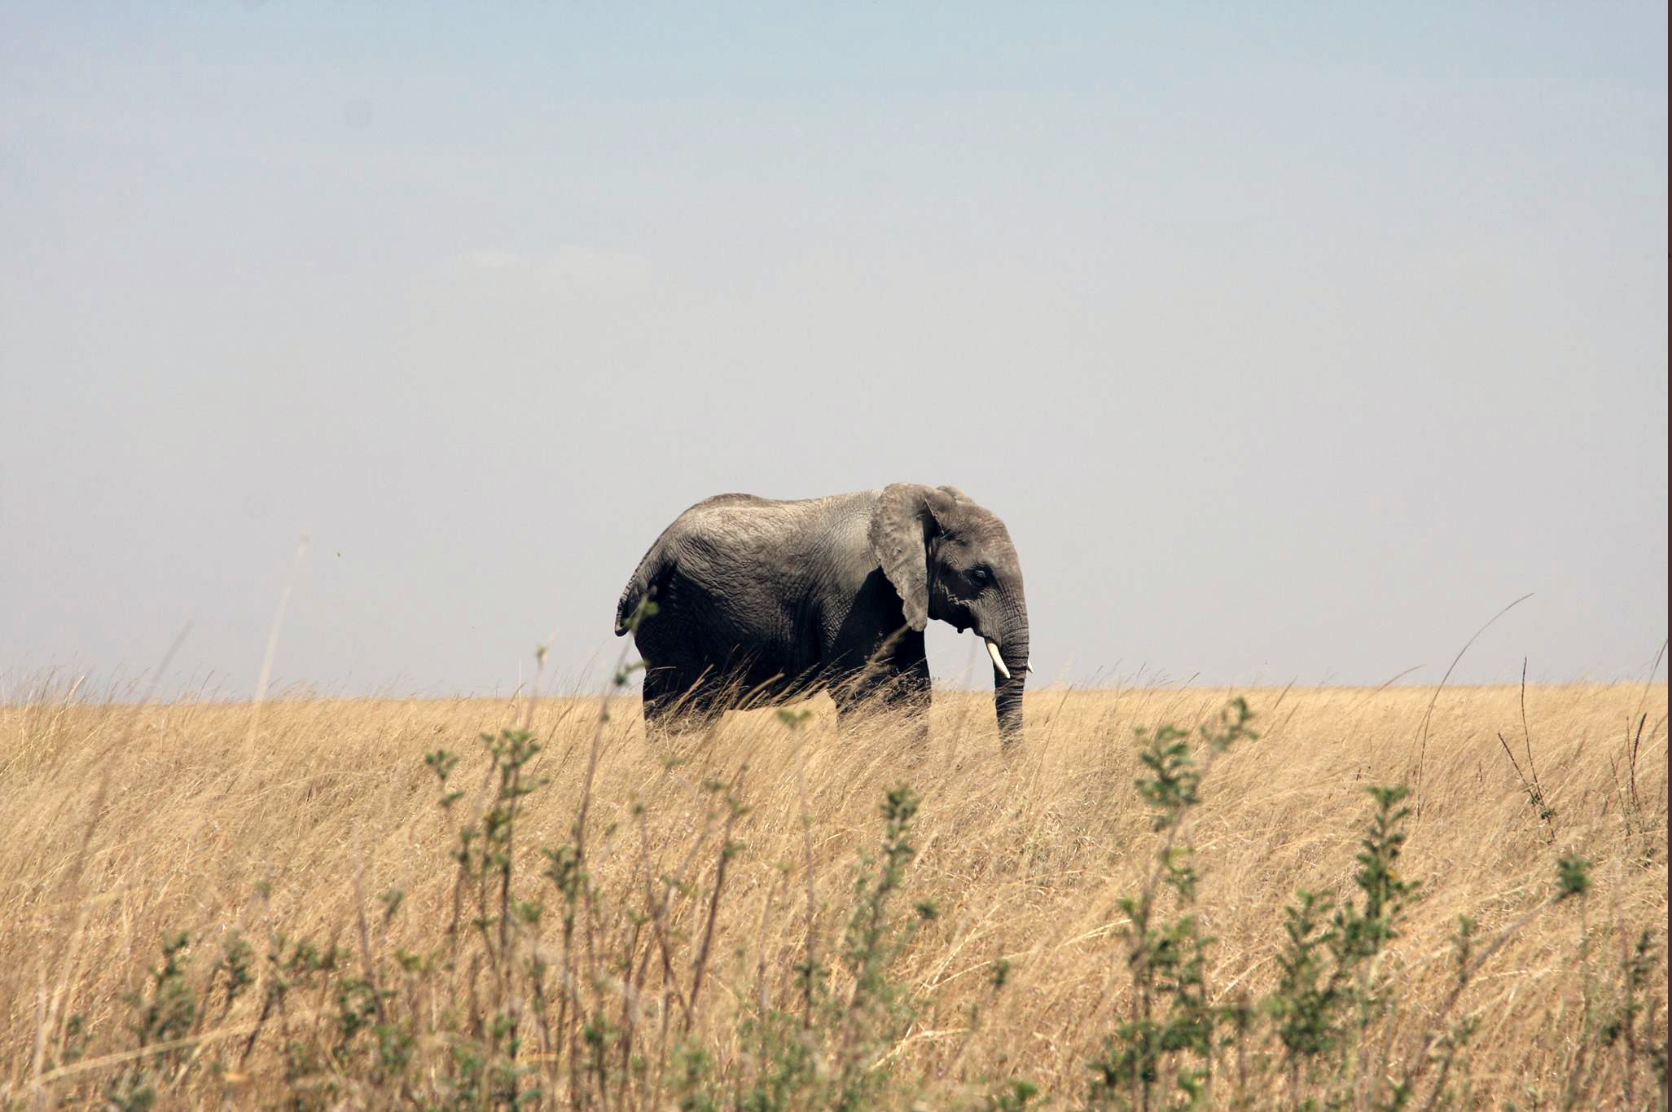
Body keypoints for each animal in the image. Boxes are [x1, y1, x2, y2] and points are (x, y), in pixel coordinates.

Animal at [613, 483, 1030, 744]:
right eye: (979, 576)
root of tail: (646, 562)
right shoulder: (857, 592)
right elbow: (864, 693)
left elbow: (912, 690)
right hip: (672, 616)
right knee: (683, 704)